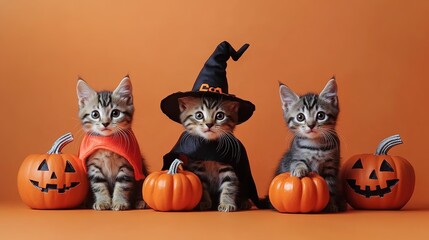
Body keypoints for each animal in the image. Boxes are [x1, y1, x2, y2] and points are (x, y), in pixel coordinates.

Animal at [75, 77, 145, 210]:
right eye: (95, 114)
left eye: (115, 113)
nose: (105, 123)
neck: (107, 143)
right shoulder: (93, 165)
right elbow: (99, 185)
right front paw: (103, 202)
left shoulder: (127, 165)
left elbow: (122, 185)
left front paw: (119, 202)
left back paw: (140, 202)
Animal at [276, 77, 346, 212]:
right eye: (300, 117)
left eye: (320, 115)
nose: (311, 125)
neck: (316, 145)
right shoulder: (296, 155)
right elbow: (298, 163)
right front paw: (299, 170)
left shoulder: (331, 166)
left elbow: (330, 188)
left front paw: (331, 206)